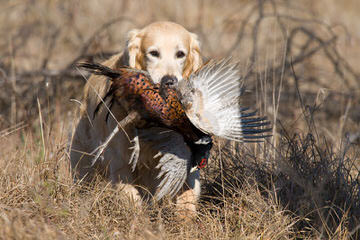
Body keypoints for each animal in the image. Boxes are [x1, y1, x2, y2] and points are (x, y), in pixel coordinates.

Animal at [69, 21, 202, 213]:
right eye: (153, 53)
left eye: (180, 54)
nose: (169, 81)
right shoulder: (120, 165)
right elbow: (132, 201)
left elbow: (187, 197)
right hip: (83, 164)